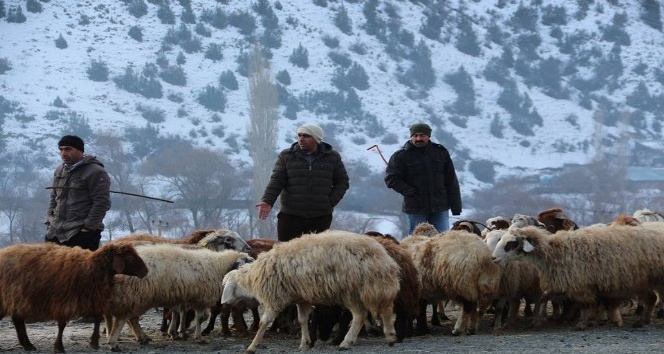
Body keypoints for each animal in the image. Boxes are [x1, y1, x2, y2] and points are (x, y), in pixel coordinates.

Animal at [0, 242, 148, 352]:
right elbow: (62, 325)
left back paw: (28, 345)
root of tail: (4, 252)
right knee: (18, 321)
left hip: (15, 299)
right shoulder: (63, 301)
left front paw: (94, 342)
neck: (91, 267)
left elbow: (97, 319)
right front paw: (59, 347)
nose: (145, 271)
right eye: (129, 258)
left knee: (18, 321)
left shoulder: (91, 298)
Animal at [105, 243, 253, 352]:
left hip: (137, 297)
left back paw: (142, 338)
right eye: (247, 261)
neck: (219, 267)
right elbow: (200, 318)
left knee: (132, 319)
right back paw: (119, 341)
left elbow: (181, 313)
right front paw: (197, 336)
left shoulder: (185, 297)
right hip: (137, 295)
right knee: (129, 318)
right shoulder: (200, 298)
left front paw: (179, 333)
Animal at [222, 230, 400, 354]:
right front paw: (304, 344)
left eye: (226, 286)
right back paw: (386, 336)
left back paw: (353, 341)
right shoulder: (301, 298)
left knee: (362, 315)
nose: (224, 303)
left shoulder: (276, 298)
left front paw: (252, 346)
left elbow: (263, 323)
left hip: (355, 289)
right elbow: (302, 320)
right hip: (371, 288)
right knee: (383, 309)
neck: (253, 276)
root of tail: (383, 257)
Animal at [492, 225, 664, 330]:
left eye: (511, 243)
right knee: (650, 298)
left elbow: (585, 305)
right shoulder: (568, 284)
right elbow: (546, 298)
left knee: (652, 298)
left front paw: (583, 322)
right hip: (642, 281)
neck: (553, 252)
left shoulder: (579, 284)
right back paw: (642, 321)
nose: (493, 258)